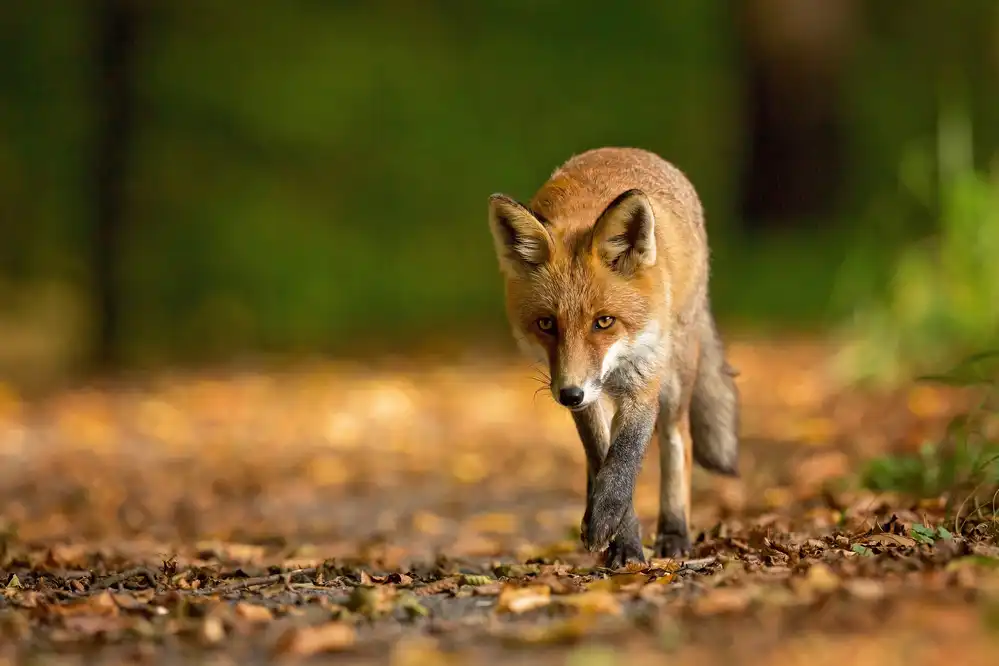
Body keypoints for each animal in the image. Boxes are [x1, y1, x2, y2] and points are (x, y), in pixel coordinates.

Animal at [486, 147, 740, 565]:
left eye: (604, 321)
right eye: (546, 324)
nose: (568, 395)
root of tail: (631, 150)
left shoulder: (644, 380)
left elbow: (624, 459)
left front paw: (609, 519)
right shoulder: (586, 396)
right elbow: (602, 455)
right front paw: (622, 539)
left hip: (675, 377)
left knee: (678, 441)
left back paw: (674, 532)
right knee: (596, 460)